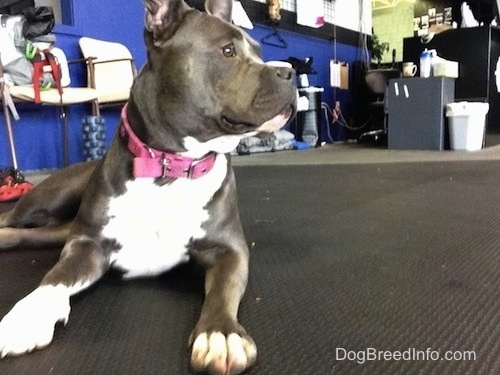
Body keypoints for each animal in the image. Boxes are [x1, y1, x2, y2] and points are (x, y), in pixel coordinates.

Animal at [0, 1, 296, 374]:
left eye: (258, 52)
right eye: (228, 51)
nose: (290, 72)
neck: (170, 167)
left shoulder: (230, 250)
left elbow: (224, 290)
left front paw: (221, 333)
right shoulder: (87, 245)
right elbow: (54, 278)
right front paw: (27, 316)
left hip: (60, 227)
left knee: (26, 235)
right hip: (47, 201)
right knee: (12, 220)